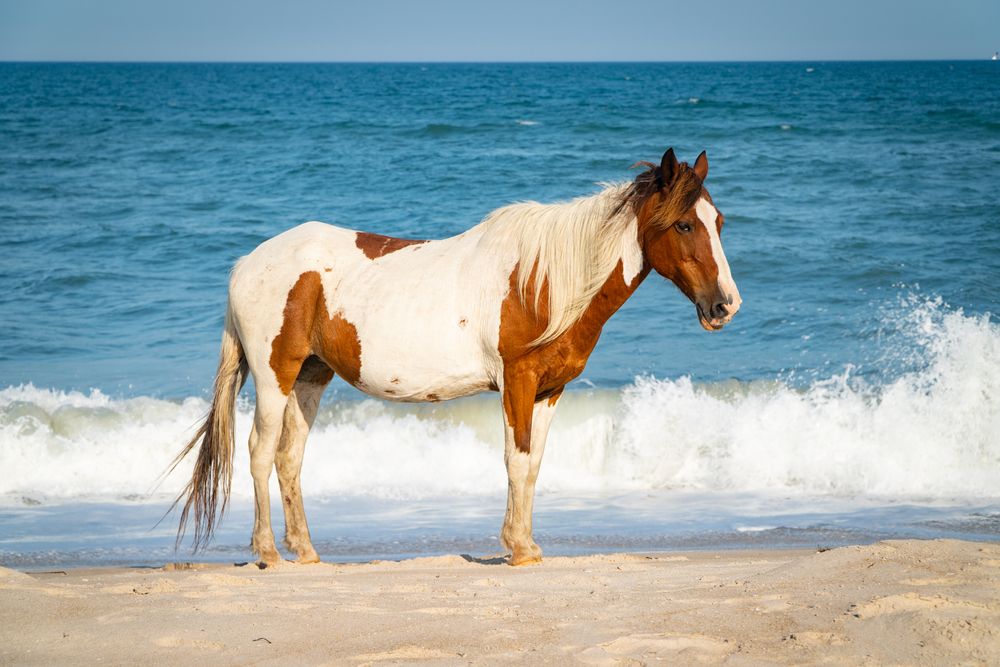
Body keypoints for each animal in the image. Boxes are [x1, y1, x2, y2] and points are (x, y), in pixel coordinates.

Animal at [171, 148, 742, 567]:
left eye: (718, 222)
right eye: (684, 225)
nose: (725, 306)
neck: (544, 282)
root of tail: (249, 261)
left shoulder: (550, 389)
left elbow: (534, 466)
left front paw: (528, 544)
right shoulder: (518, 382)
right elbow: (515, 461)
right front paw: (518, 549)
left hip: (312, 376)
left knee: (289, 457)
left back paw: (306, 553)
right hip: (275, 377)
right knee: (260, 452)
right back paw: (268, 552)